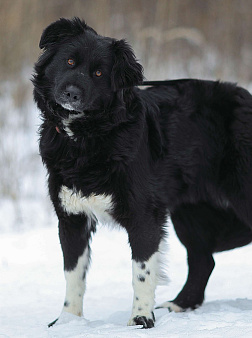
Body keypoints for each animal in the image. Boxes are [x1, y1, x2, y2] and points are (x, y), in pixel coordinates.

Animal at [33, 17, 252, 328]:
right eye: (69, 61)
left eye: (99, 73)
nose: (72, 93)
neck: (87, 138)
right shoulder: (72, 217)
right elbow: (73, 273)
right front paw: (68, 321)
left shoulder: (144, 215)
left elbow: (142, 271)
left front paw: (140, 318)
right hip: (188, 210)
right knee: (203, 260)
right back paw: (180, 304)